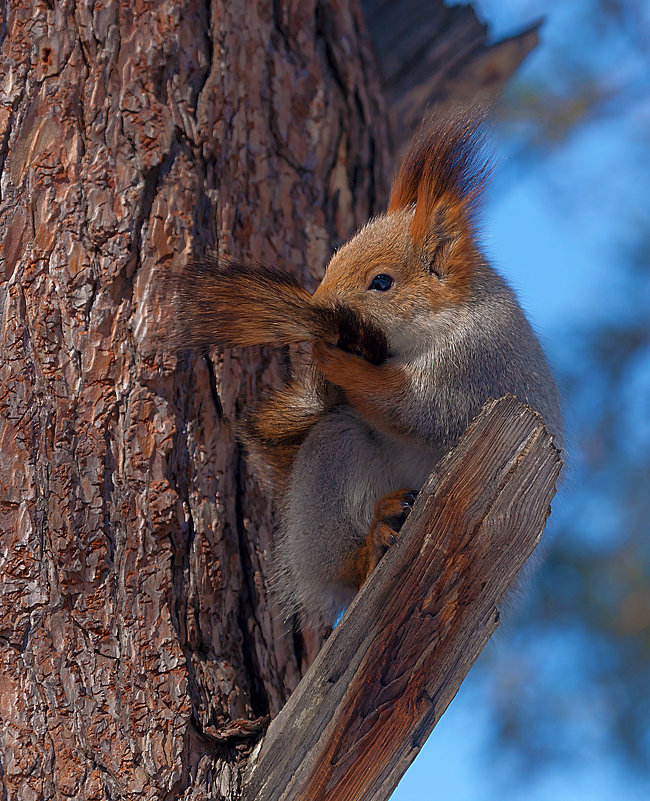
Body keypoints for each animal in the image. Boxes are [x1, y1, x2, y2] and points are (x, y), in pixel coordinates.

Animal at [167, 112, 560, 628]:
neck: (449, 315)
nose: (320, 308)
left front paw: (331, 356)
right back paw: (375, 538)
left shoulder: (470, 364)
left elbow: (415, 409)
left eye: (382, 282)